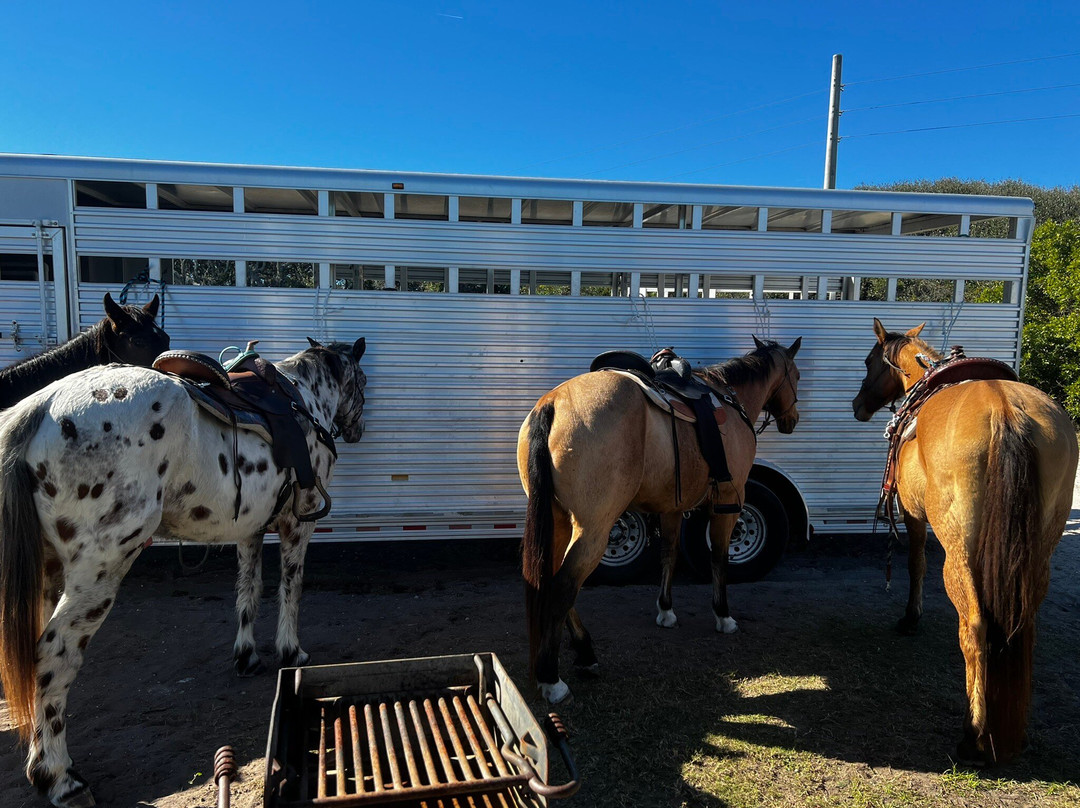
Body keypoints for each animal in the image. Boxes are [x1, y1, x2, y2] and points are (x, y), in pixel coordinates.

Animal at [0, 334, 367, 803]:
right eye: (362, 381)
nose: (357, 429)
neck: (302, 400)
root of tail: (42, 404)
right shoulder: (296, 525)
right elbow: (291, 588)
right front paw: (291, 651)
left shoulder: (249, 529)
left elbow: (249, 591)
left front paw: (247, 656)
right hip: (98, 571)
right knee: (55, 653)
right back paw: (61, 778)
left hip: (48, 571)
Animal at [851, 319, 1080, 769]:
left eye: (869, 360)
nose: (857, 405)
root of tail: (1007, 411)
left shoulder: (914, 515)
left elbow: (916, 565)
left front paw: (911, 618)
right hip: (1038, 552)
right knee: (1022, 622)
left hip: (958, 550)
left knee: (973, 626)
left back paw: (973, 735)